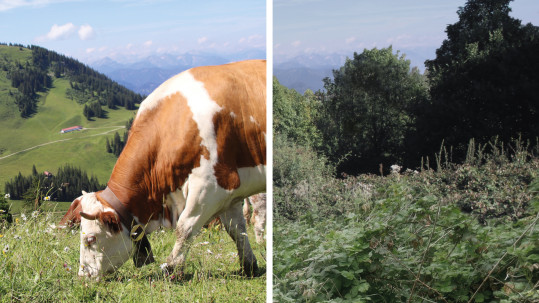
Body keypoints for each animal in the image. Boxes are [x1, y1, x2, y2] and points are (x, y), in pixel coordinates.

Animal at [73, 60, 266, 280]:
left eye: (90, 239)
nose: (82, 275)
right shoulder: (229, 195)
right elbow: (237, 230)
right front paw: (249, 266)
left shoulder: (211, 186)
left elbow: (185, 228)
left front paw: (171, 268)